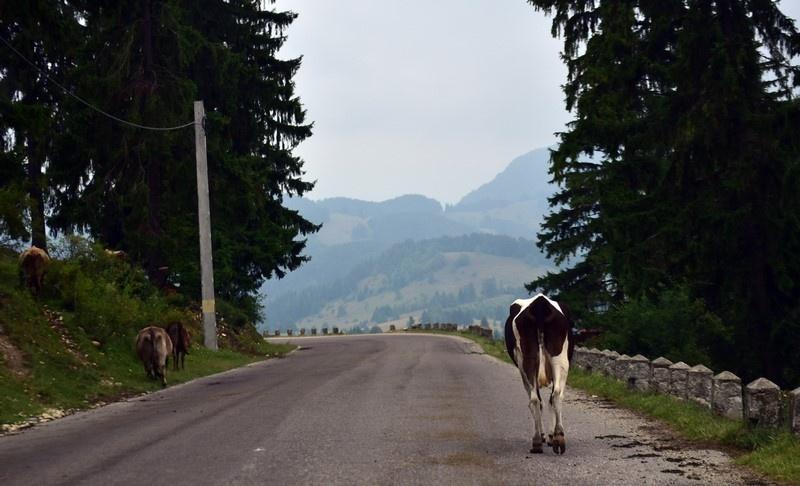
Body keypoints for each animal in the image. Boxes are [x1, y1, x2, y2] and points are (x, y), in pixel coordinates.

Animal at [504, 292, 572, 456]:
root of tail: (540, 303)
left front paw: (546, 435)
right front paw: (550, 435)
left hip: (527, 360)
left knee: (537, 398)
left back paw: (540, 440)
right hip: (559, 359)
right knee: (554, 395)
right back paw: (557, 438)